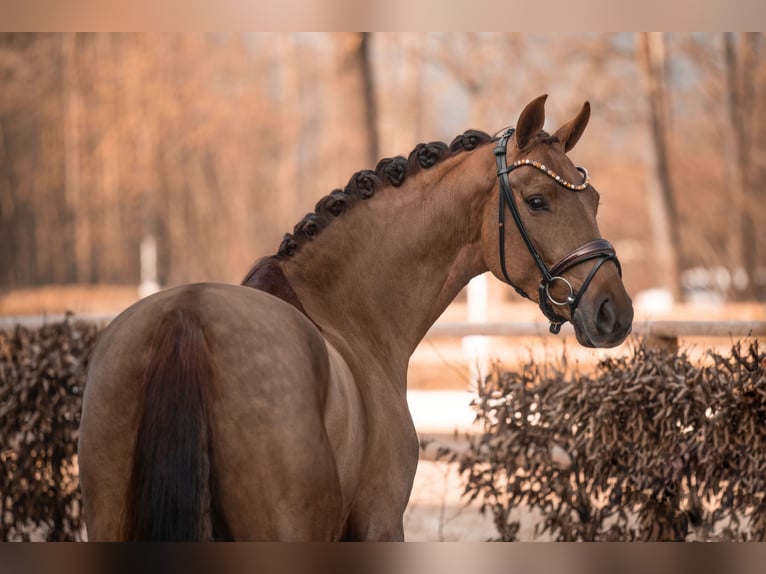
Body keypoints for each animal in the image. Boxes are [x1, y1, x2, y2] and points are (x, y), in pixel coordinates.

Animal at [78, 94, 632, 540]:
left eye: (595, 199)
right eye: (537, 201)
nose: (615, 312)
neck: (345, 315)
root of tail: (186, 319)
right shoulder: (381, 524)